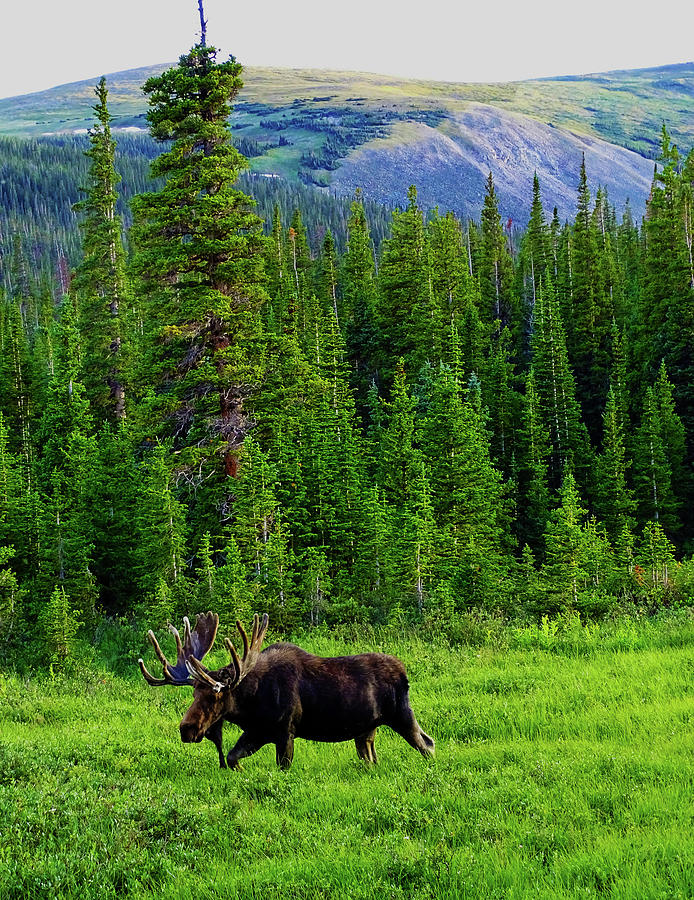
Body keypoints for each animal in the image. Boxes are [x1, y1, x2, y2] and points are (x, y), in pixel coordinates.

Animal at [140, 612, 436, 768]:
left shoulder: (285, 731)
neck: (249, 703)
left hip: (401, 714)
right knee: (372, 758)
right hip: (366, 731)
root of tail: (404, 671)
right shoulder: (257, 731)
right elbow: (233, 758)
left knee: (428, 743)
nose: (186, 729)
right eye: (193, 693)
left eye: (215, 694)